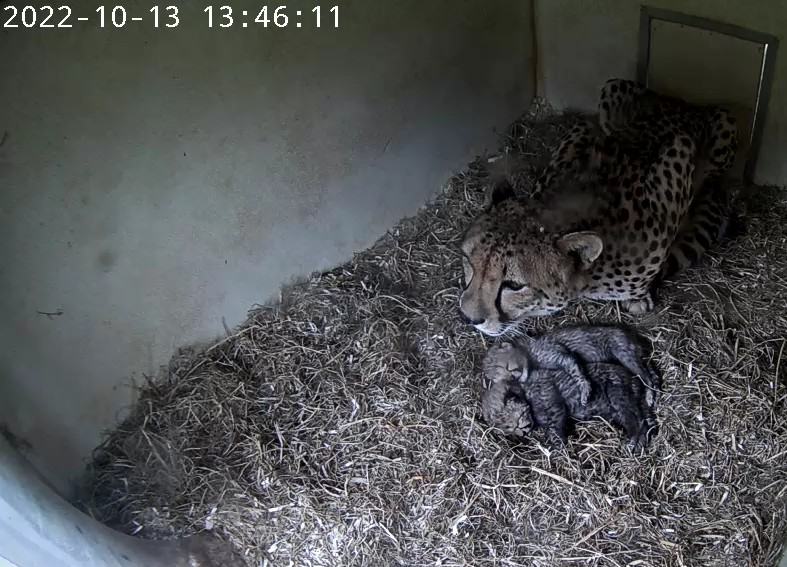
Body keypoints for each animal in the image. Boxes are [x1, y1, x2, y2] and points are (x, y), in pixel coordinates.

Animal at [458, 78, 739, 336]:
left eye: (514, 286)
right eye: (469, 262)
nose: (468, 318)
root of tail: (681, 100)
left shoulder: (679, 153)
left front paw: (638, 296)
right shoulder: (580, 133)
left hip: (725, 126)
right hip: (612, 88)